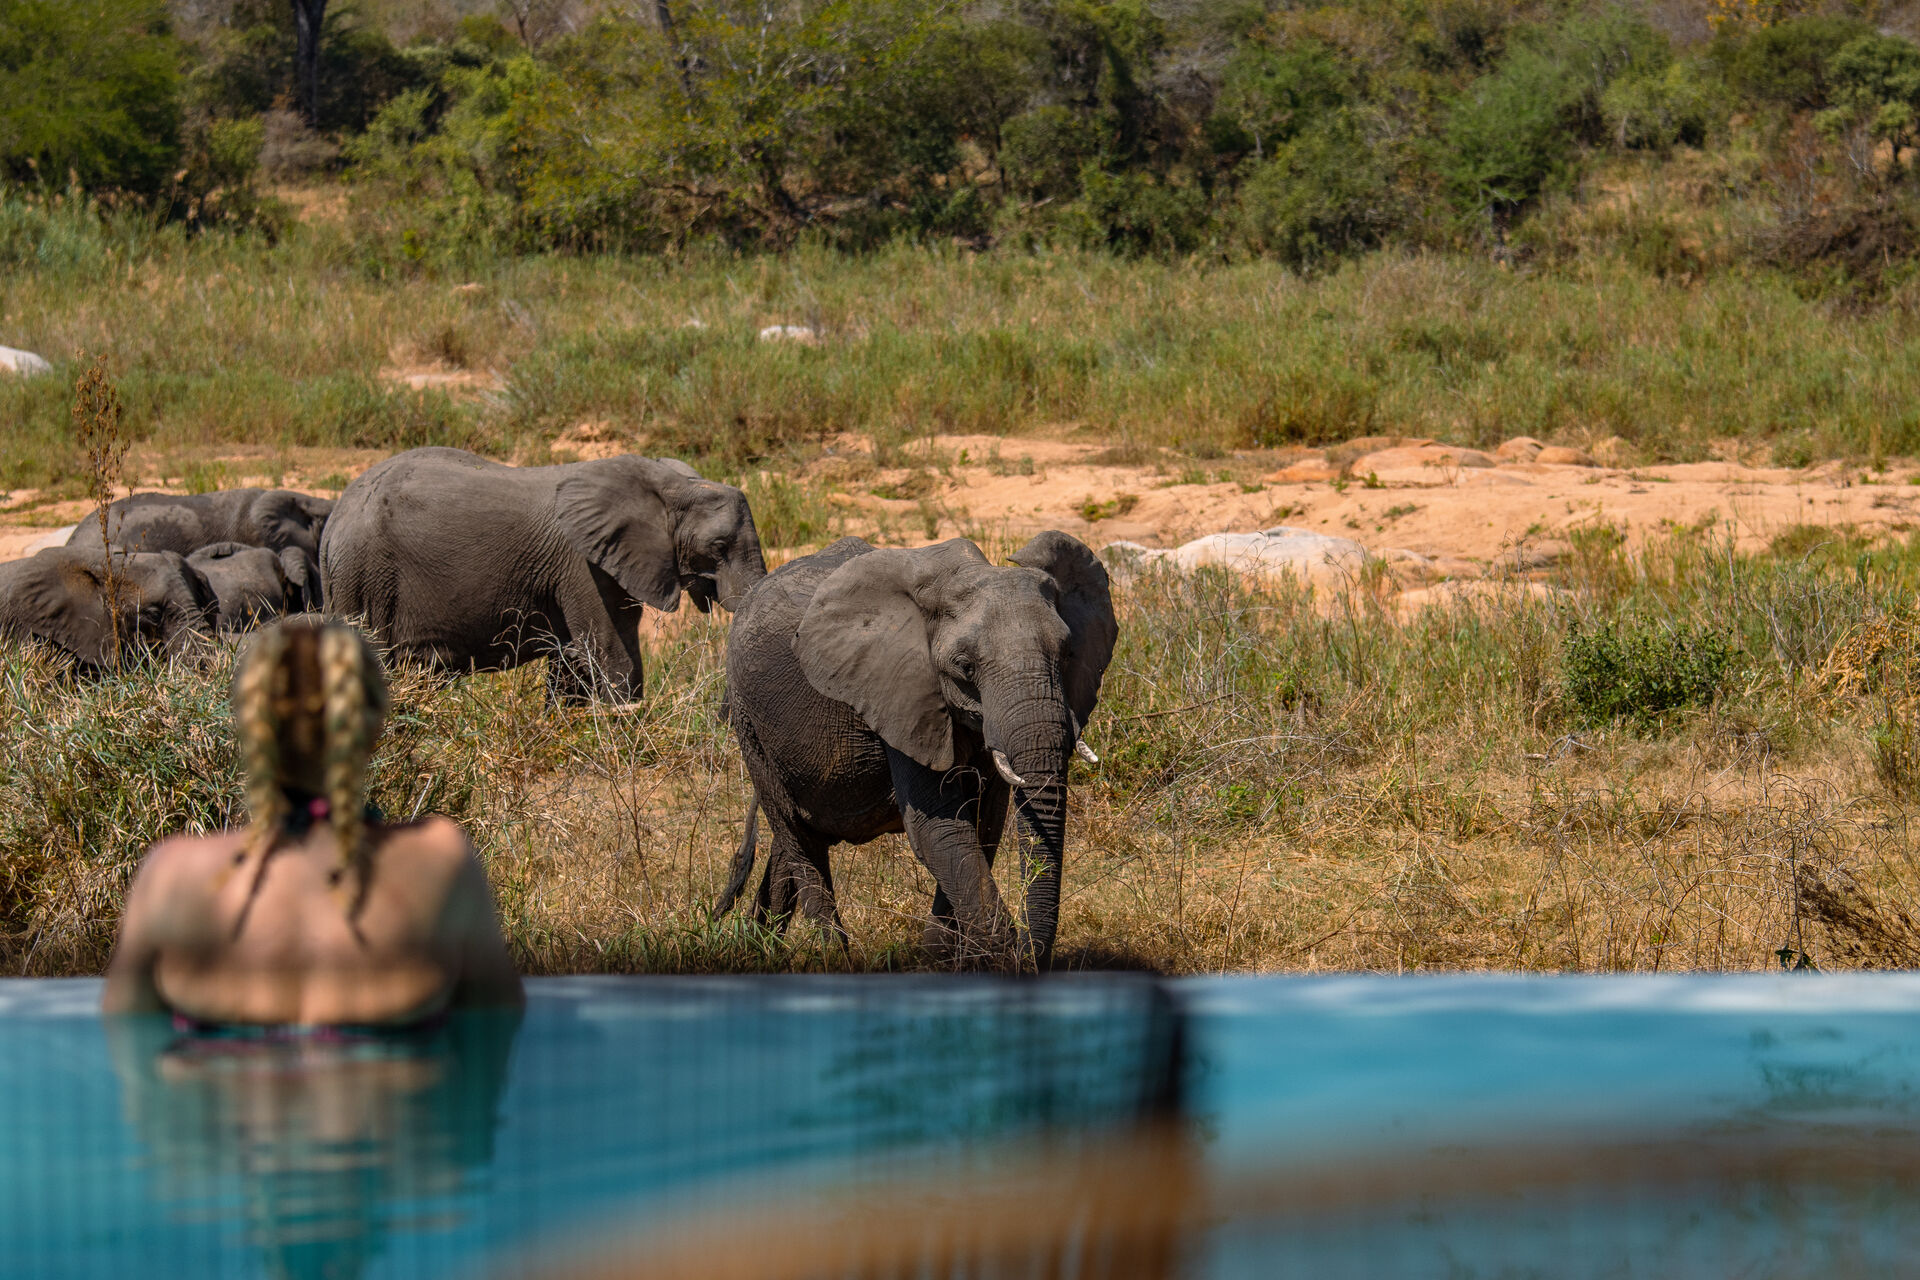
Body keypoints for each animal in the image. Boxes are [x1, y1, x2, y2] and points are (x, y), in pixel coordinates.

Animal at [320, 447, 767, 704]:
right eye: (719, 547)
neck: (670, 482)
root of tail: (333, 522)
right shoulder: (581, 565)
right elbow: (608, 648)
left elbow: (581, 657)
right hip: (365, 579)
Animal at [714, 531, 1117, 968]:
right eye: (965, 666)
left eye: (1067, 653)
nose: (1031, 957)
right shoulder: (899, 691)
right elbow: (938, 830)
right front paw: (996, 963)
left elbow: (982, 824)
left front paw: (940, 962)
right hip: (749, 722)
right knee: (799, 838)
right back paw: (833, 958)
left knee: (790, 842)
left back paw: (761, 949)